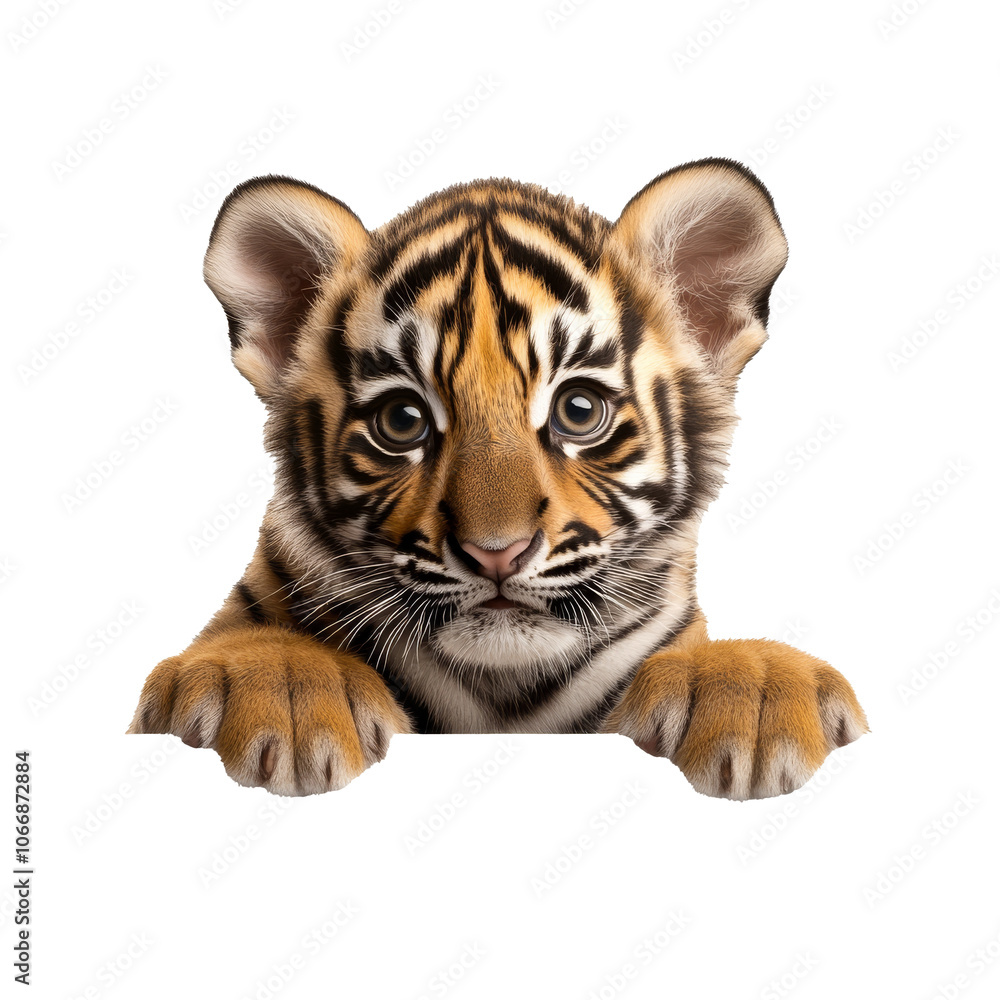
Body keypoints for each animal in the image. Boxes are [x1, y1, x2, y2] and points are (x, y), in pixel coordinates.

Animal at [127, 157, 868, 800]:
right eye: (402, 420)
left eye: (578, 411)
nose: (496, 553)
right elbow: (252, 647)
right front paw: (284, 691)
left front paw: (758, 689)